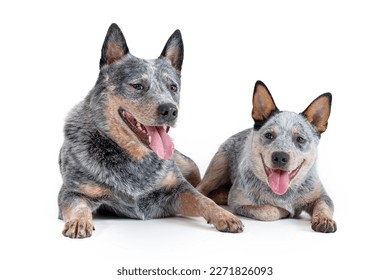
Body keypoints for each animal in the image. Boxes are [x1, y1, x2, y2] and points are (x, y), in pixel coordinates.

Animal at [57, 24, 244, 238]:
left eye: (173, 87)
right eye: (138, 86)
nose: (170, 110)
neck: (136, 159)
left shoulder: (179, 189)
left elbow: (202, 199)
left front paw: (224, 215)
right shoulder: (73, 191)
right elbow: (78, 205)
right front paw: (79, 221)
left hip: (189, 164)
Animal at [197, 82, 336, 233]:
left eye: (300, 139)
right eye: (269, 135)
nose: (280, 157)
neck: (284, 193)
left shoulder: (321, 195)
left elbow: (324, 205)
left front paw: (324, 219)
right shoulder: (237, 202)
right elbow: (270, 211)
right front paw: (286, 211)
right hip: (218, 166)